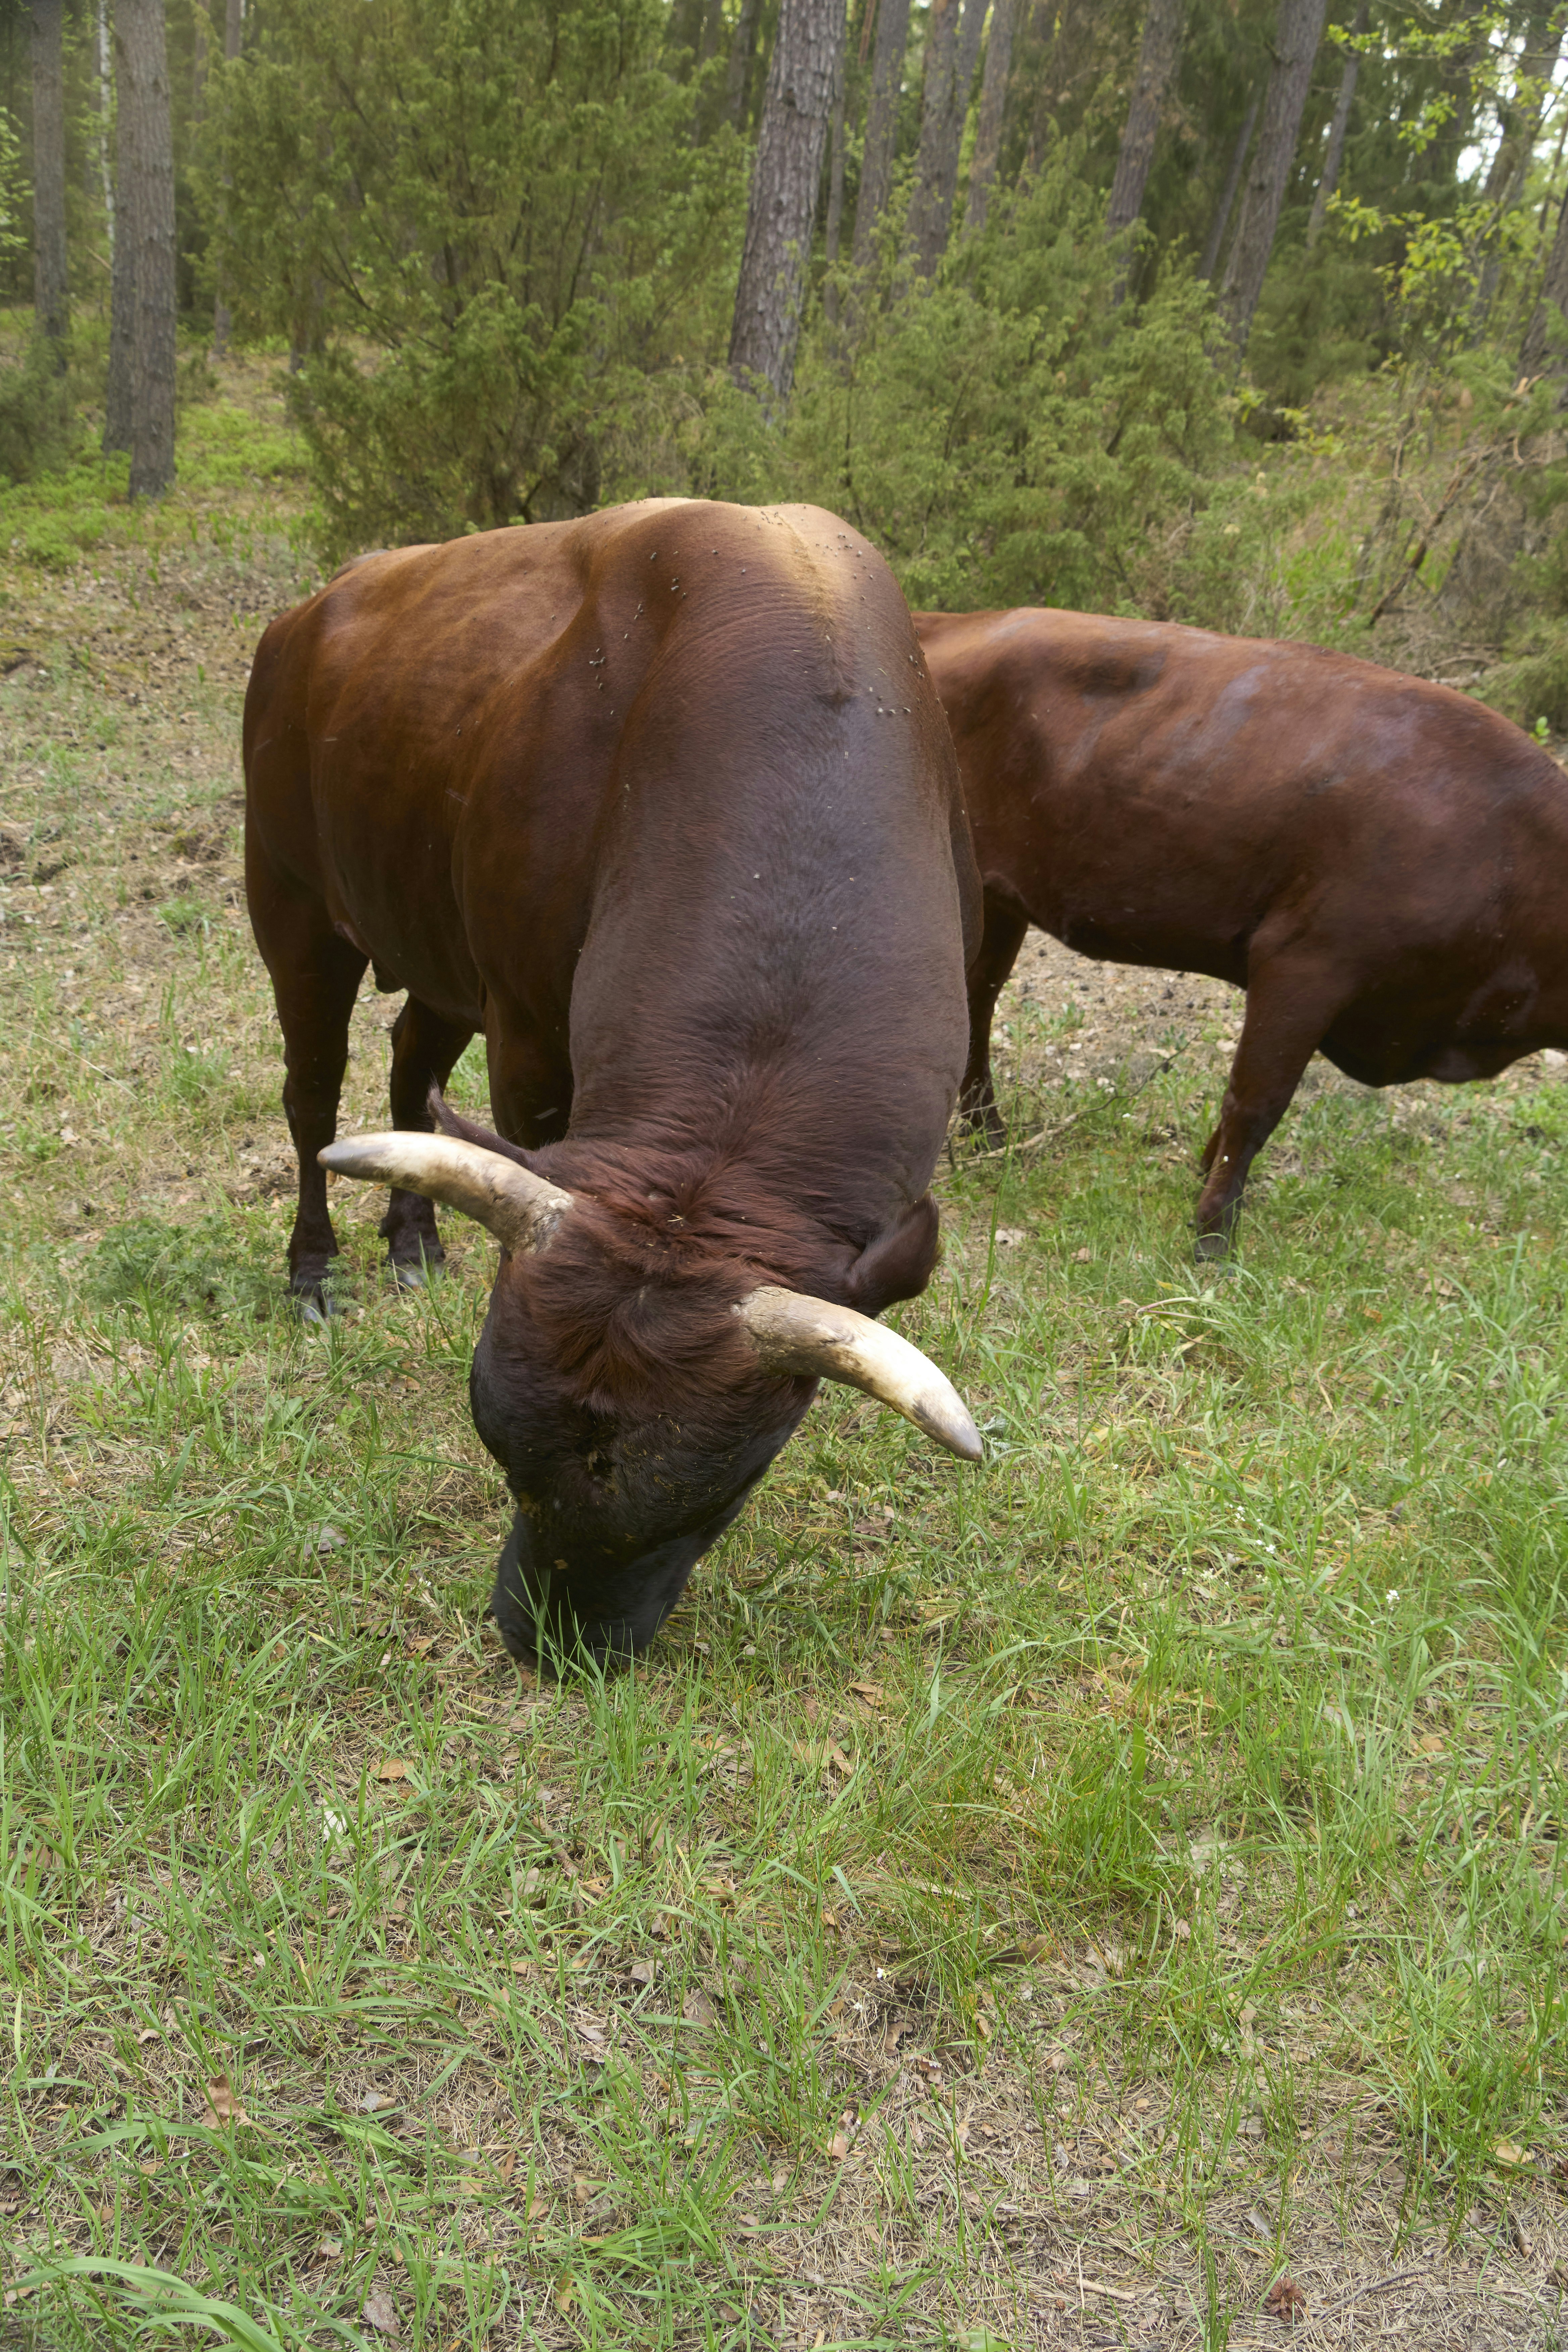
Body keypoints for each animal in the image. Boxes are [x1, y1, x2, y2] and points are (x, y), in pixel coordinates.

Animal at [243, 500, 982, 1664]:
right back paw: (314, 1269)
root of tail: (310, 608)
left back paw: (414, 1241)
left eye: (725, 1492)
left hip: (437, 946)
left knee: (410, 1063)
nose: (552, 1646)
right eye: (501, 1453)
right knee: (313, 1092)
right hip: (293, 904)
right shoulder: (527, 1037)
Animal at [916, 605, 1568, 1252]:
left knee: (978, 1000)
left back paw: (987, 1132)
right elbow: (1257, 1099)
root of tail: (947, 620)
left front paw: (1206, 1177)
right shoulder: (1305, 962)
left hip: (999, 902)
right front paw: (1214, 1232)